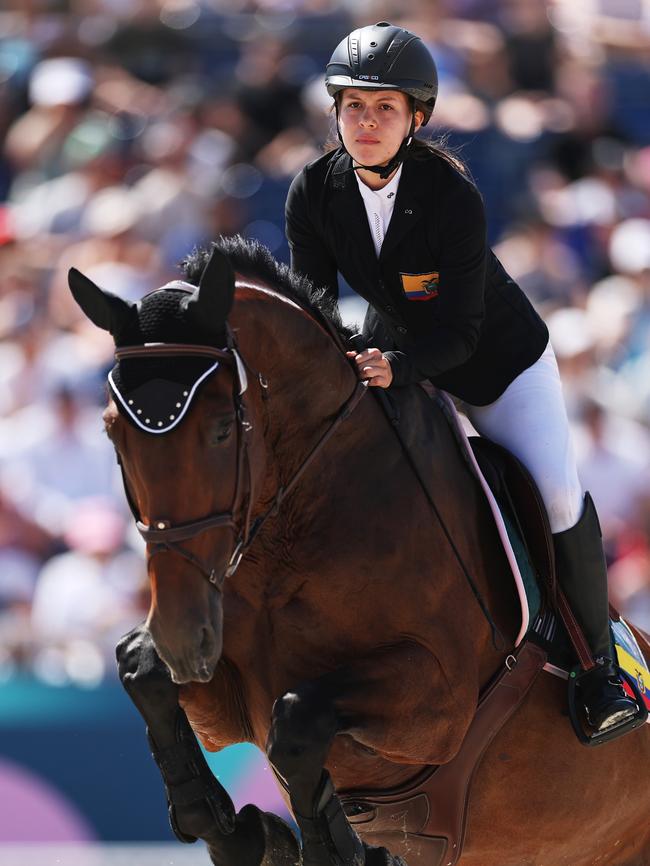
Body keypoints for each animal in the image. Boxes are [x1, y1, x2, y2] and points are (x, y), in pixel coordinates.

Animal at [67, 236, 648, 864]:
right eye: (111, 430)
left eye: (222, 428)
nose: (181, 634)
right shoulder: (224, 704)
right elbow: (141, 670)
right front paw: (247, 834)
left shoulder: (438, 703)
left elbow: (298, 719)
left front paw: (331, 845)